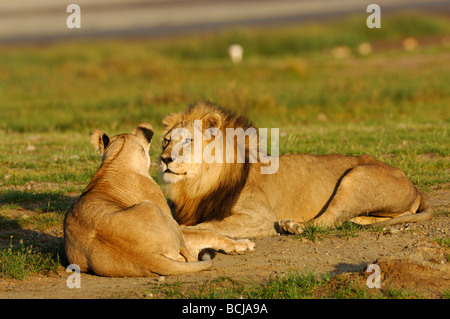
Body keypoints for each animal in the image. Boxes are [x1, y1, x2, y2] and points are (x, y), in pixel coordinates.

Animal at [63, 124, 255, 278]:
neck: (116, 159)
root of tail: (145, 256)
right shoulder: (172, 220)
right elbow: (206, 233)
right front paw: (242, 244)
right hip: (153, 208)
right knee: (191, 256)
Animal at [160, 101, 434, 239]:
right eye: (166, 141)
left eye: (188, 141)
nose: (163, 159)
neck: (195, 184)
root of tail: (413, 184)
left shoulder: (260, 217)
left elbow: (208, 225)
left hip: (356, 177)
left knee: (327, 221)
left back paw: (294, 226)